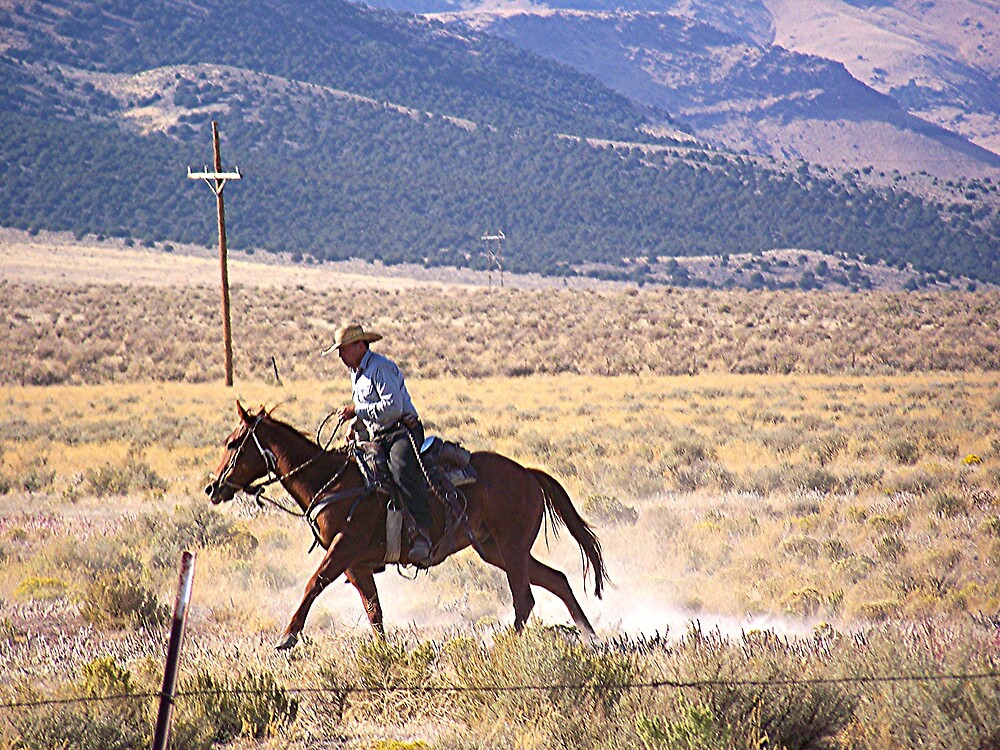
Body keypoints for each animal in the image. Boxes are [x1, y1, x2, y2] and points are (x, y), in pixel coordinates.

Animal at [205, 402, 607, 649]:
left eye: (234, 443)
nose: (213, 487)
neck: (333, 481)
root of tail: (527, 473)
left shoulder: (344, 547)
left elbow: (313, 583)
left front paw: (287, 636)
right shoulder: (356, 565)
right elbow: (374, 611)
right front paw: (382, 654)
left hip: (510, 547)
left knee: (525, 598)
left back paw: (504, 644)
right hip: (498, 549)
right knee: (556, 580)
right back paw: (591, 637)